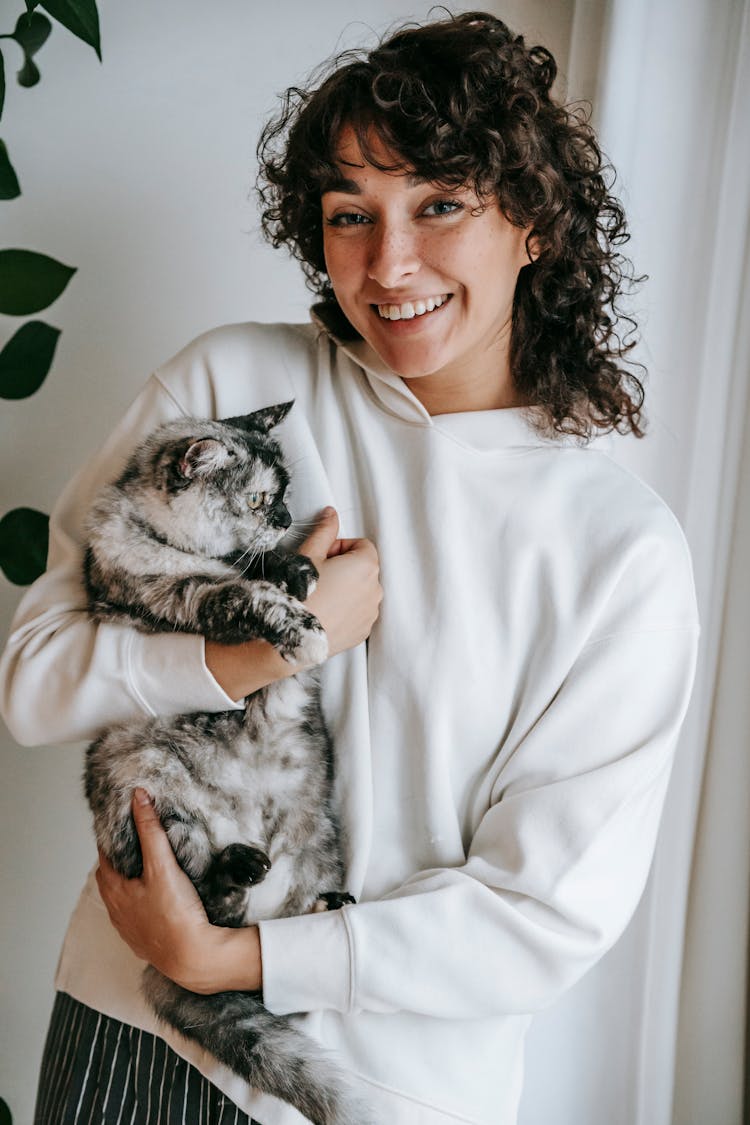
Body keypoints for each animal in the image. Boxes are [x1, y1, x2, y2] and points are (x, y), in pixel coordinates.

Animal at [82, 405, 366, 1125]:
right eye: (260, 498)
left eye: (285, 491)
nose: (287, 514)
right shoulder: (181, 590)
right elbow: (244, 596)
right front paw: (301, 624)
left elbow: (259, 570)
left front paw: (298, 569)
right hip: (154, 801)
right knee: (214, 912)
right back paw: (241, 868)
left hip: (316, 837)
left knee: (263, 954)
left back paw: (325, 901)